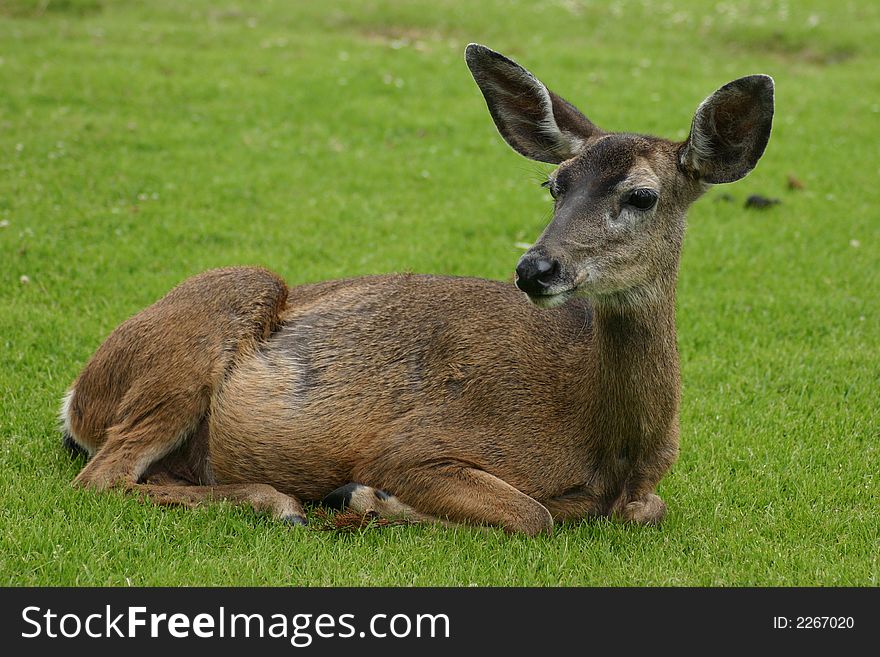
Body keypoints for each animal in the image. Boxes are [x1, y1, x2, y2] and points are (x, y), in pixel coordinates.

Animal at [60, 47, 768, 540]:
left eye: (642, 195)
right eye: (555, 185)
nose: (535, 268)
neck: (607, 446)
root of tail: (75, 400)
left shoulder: (641, 492)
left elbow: (645, 510)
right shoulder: (416, 444)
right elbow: (532, 514)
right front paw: (365, 499)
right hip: (212, 318)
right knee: (101, 477)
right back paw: (282, 502)